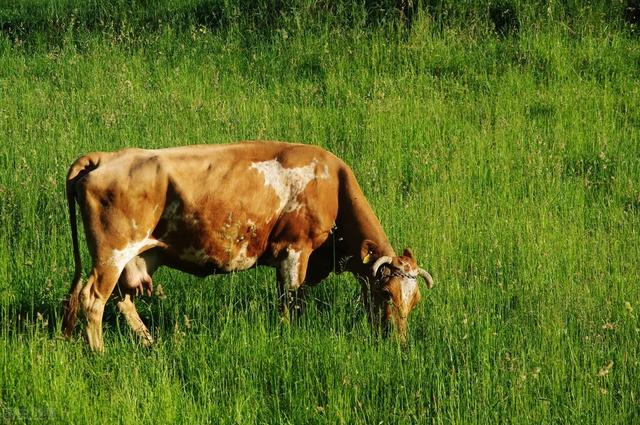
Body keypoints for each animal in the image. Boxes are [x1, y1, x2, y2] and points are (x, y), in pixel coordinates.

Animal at [62, 141, 432, 350]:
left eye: (414, 300)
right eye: (385, 293)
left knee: (120, 300)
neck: (332, 185)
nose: (399, 341)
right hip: (111, 255)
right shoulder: (295, 251)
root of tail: (107, 156)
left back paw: (148, 342)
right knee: (93, 299)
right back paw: (99, 352)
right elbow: (291, 302)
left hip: (136, 258)